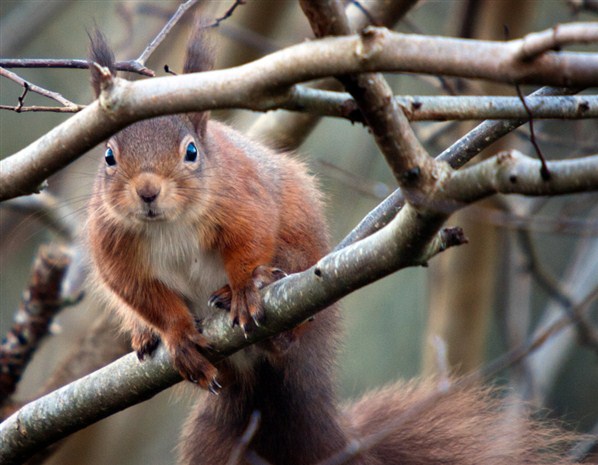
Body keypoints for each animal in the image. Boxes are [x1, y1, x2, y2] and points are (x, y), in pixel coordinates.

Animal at [89, 28, 584, 464]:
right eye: (109, 156)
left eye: (191, 152)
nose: (147, 192)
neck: (167, 225)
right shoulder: (111, 248)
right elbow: (140, 293)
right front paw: (174, 333)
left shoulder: (243, 199)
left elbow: (251, 241)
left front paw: (245, 289)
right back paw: (147, 335)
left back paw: (263, 305)